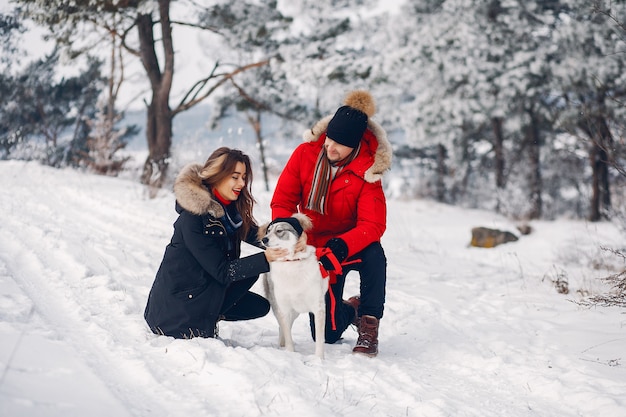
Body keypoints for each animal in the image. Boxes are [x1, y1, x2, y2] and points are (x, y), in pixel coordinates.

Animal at [258, 213, 330, 360]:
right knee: (283, 328)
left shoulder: (319, 308)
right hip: (279, 307)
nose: (264, 239)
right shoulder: (284, 309)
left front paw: (319, 360)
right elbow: (288, 335)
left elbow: (320, 339)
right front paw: (290, 354)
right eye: (268, 231)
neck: (291, 262)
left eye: (279, 231)